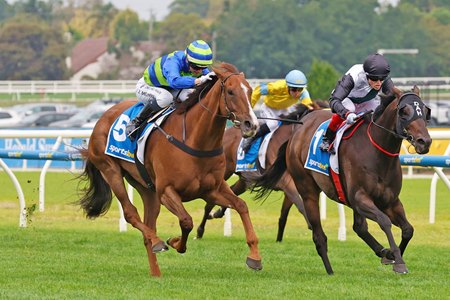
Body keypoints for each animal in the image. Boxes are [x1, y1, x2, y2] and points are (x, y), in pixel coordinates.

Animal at [78, 62, 264, 276]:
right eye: (231, 92)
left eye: (249, 90)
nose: (251, 124)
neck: (196, 141)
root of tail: (102, 118)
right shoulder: (167, 191)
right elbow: (186, 220)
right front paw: (175, 242)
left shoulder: (212, 189)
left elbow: (241, 205)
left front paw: (255, 257)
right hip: (111, 171)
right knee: (131, 213)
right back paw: (158, 242)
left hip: (147, 188)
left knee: (147, 227)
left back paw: (156, 272)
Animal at [197, 104, 312, 243]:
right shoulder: (286, 183)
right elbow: (300, 205)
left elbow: (288, 211)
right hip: (223, 172)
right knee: (210, 201)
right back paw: (200, 231)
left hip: (244, 179)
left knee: (231, 193)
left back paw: (216, 214)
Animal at [255, 86, 430, 274]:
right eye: (404, 111)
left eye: (425, 110)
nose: (425, 142)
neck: (377, 153)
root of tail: (299, 127)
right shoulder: (360, 198)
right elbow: (384, 221)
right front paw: (397, 260)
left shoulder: (390, 201)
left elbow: (408, 229)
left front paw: (394, 256)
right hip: (307, 190)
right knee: (319, 235)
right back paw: (330, 270)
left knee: (359, 227)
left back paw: (383, 252)